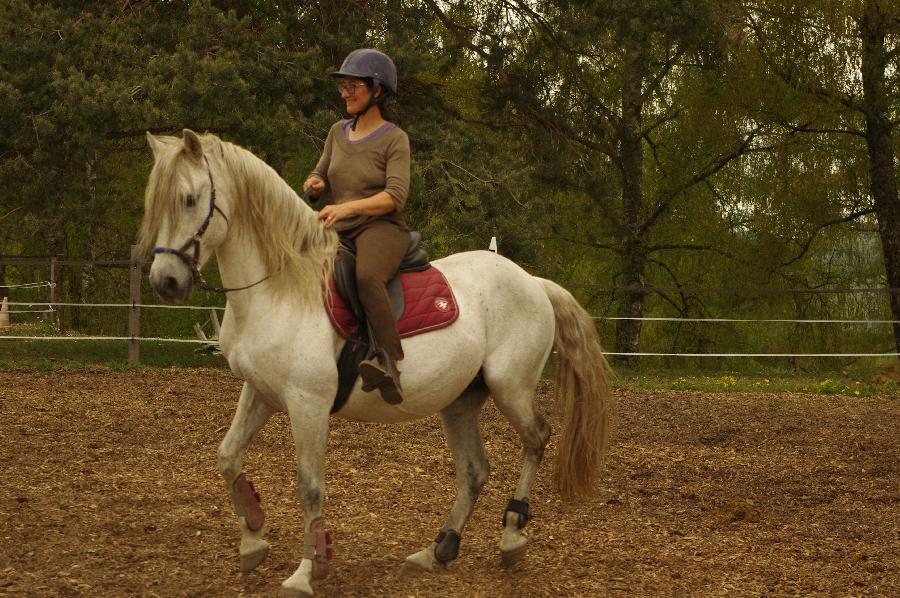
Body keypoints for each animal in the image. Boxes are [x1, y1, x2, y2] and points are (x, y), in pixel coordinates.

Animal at [141, 129, 616, 596]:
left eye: (189, 199)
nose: (166, 281)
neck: (280, 286)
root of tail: (533, 281)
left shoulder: (307, 404)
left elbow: (309, 486)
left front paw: (307, 571)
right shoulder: (261, 392)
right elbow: (228, 456)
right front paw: (253, 540)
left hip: (510, 387)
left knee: (536, 438)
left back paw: (512, 536)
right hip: (461, 401)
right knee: (475, 471)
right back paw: (438, 549)